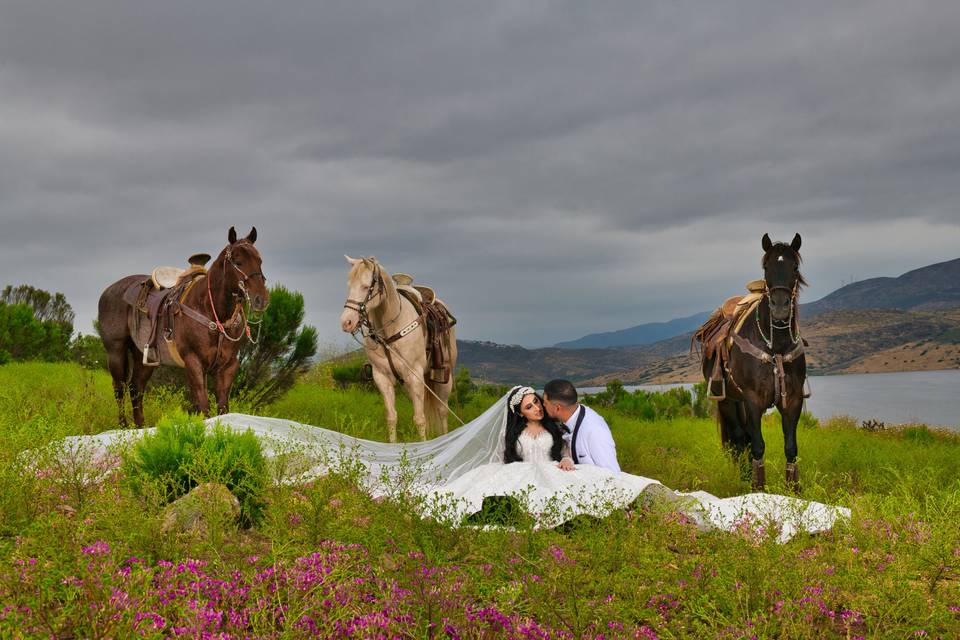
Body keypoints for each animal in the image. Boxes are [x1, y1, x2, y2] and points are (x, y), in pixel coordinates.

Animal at [97, 228, 268, 428]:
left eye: (260, 261)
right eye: (238, 261)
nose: (261, 299)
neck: (212, 310)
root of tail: (108, 291)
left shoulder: (228, 366)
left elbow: (223, 408)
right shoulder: (193, 361)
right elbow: (203, 405)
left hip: (144, 356)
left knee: (136, 388)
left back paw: (140, 427)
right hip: (116, 351)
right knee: (119, 387)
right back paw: (123, 427)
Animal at [338, 258, 458, 442]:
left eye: (366, 286)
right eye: (349, 285)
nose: (346, 322)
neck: (390, 330)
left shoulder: (415, 376)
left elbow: (420, 419)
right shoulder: (382, 377)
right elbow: (392, 417)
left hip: (444, 377)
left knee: (442, 411)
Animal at [692, 234, 808, 490]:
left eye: (795, 267)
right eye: (766, 267)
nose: (780, 307)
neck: (776, 347)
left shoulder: (793, 400)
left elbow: (791, 448)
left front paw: (794, 491)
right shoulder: (753, 400)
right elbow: (757, 446)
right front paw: (758, 489)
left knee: (743, 438)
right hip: (729, 401)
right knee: (739, 438)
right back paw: (744, 478)